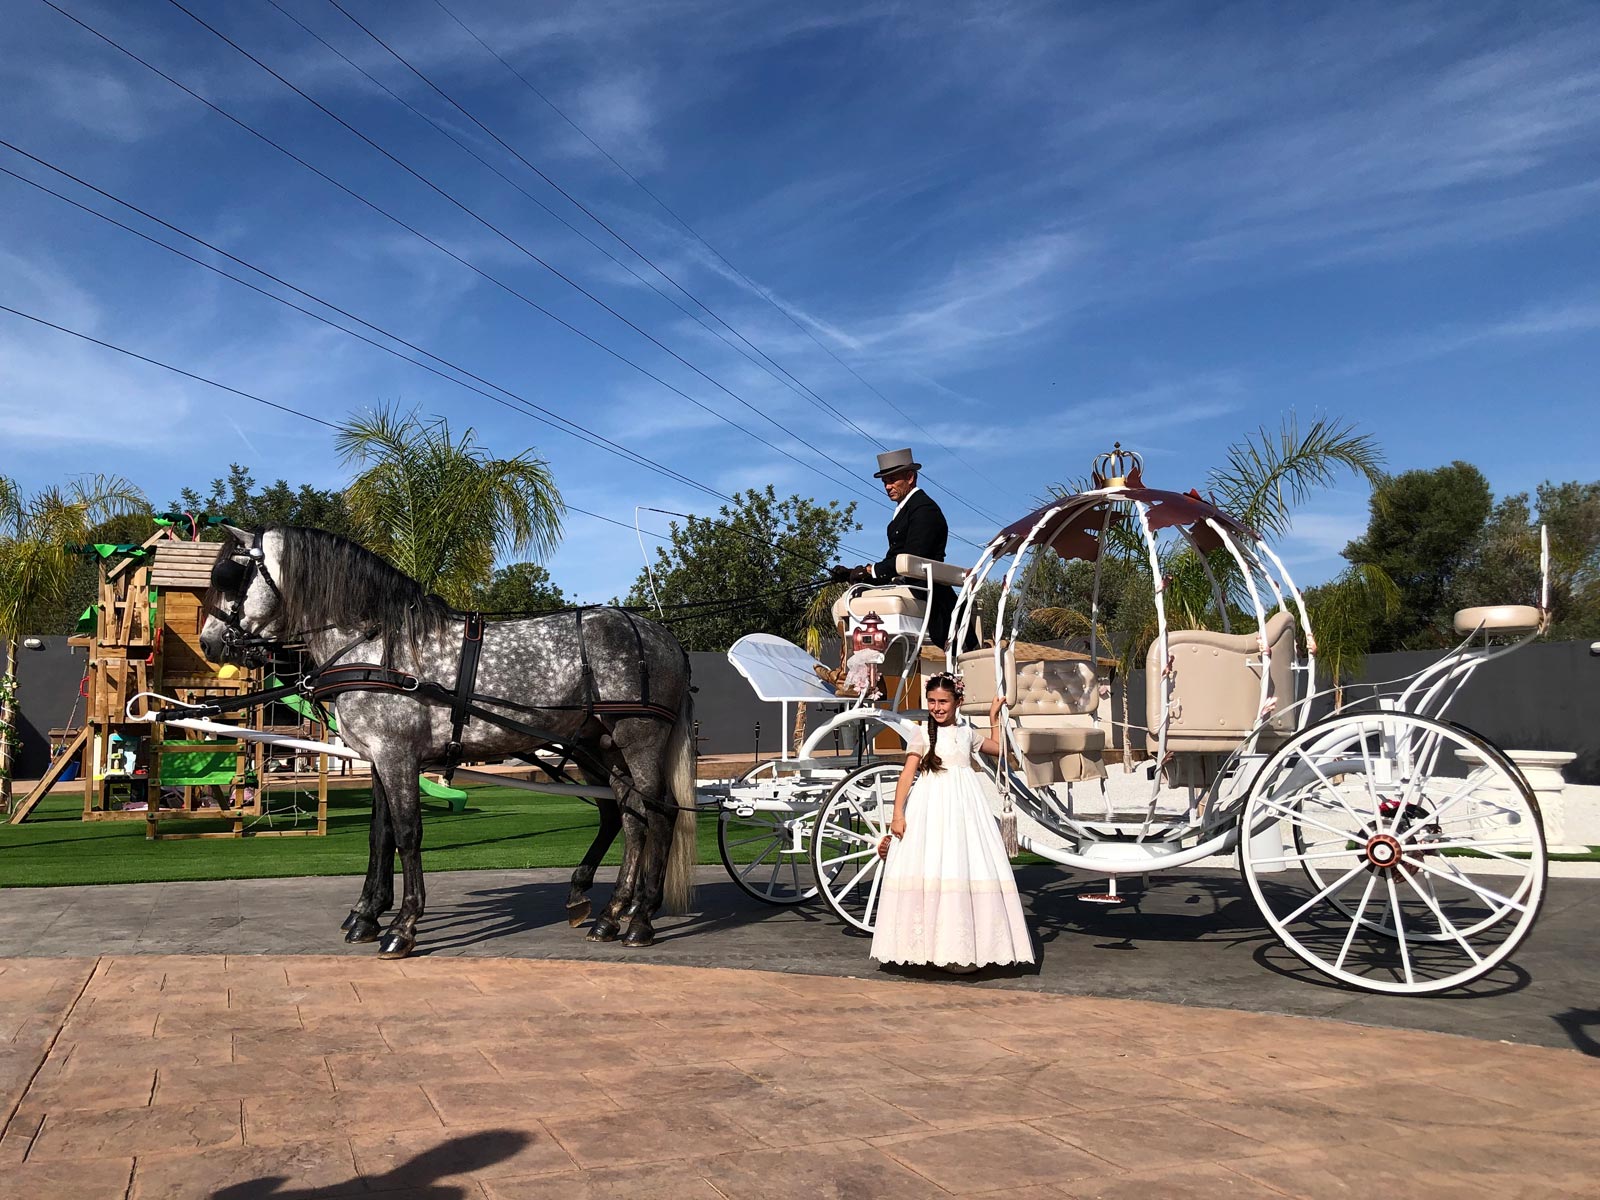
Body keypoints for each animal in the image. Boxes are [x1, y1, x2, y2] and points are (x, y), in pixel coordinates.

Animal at [197, 524, 697, 958]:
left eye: (228, 576)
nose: (209, 643)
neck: (377, 648)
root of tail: (662, 634)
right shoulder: (379, 757)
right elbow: (380, 835)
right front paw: (365, 915)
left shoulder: (397, 754)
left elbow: (407, 834)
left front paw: (402, 926)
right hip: (605, 746)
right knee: (631, 818)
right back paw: (611, 914)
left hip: (638, 740)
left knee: (661, 814)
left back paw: (640, 919)